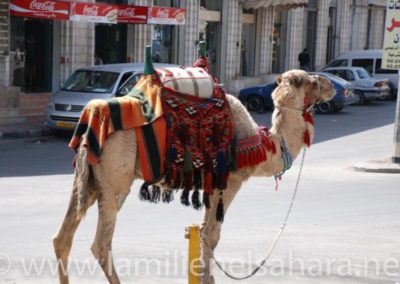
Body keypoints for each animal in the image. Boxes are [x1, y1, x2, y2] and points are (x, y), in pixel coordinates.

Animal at [53, 66, 334, 282]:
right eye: (312, 81)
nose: (332, 85)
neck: (263, 146)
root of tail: (92, 119)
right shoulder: (229, 182)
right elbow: (211, 235)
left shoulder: (212, 184)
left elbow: (204, 232)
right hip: (115, 182)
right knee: (100, 244)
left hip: (89, 181)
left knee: (62, 238)